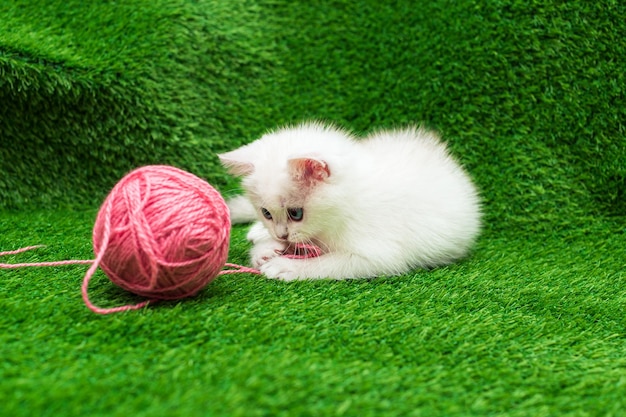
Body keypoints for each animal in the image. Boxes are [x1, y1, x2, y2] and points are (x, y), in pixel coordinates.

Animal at [217, 122, 480, 282]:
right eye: (266, 213)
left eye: (296, 213)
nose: (281, 235)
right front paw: (267, 249)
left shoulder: (381, 253)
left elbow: (333, 262)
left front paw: (288, 266)